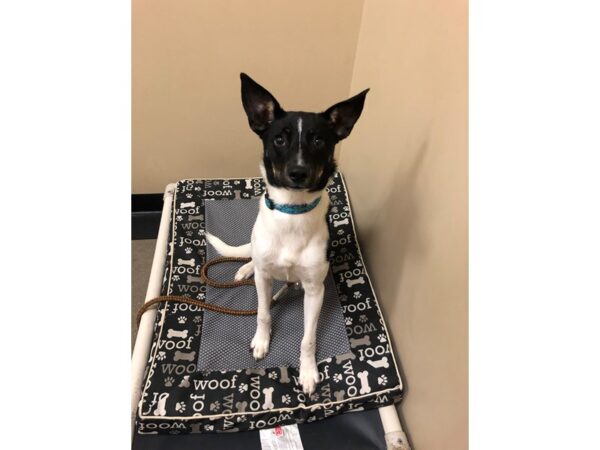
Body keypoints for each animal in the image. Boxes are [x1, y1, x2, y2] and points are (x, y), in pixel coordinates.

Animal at [206, 74, 366, 394]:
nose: (298, 172)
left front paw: (307, 372)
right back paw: (245, 268)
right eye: (279, 139)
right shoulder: (265, 280)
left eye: (318, 140)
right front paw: (261, 341)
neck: (293, 212)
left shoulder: (316, 291)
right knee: (253, 258)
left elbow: (308, 338)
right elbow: (263, 313)